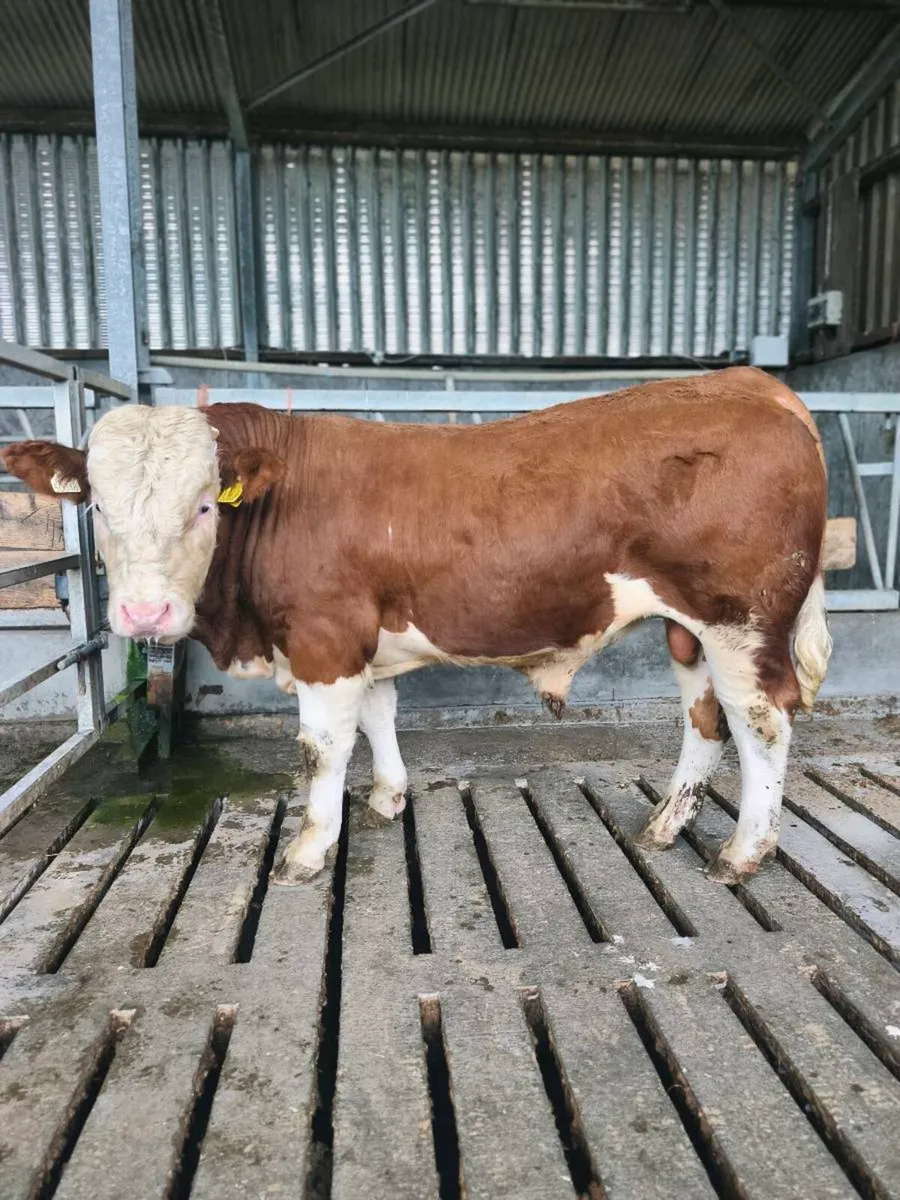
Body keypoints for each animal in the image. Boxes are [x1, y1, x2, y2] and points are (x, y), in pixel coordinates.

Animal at [1, 367, 832, 887]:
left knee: (763, 723)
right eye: (97, 505)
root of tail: (747, 381)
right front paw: (387, 799)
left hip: (743, 620)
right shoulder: (360, 640)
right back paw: (664, 824)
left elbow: (322, 748)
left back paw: (741, 853)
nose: (144, 613)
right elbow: (378, 717)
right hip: (688, 627)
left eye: (206, 504)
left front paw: (310, 848)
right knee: (706, 718)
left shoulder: (324, 637)